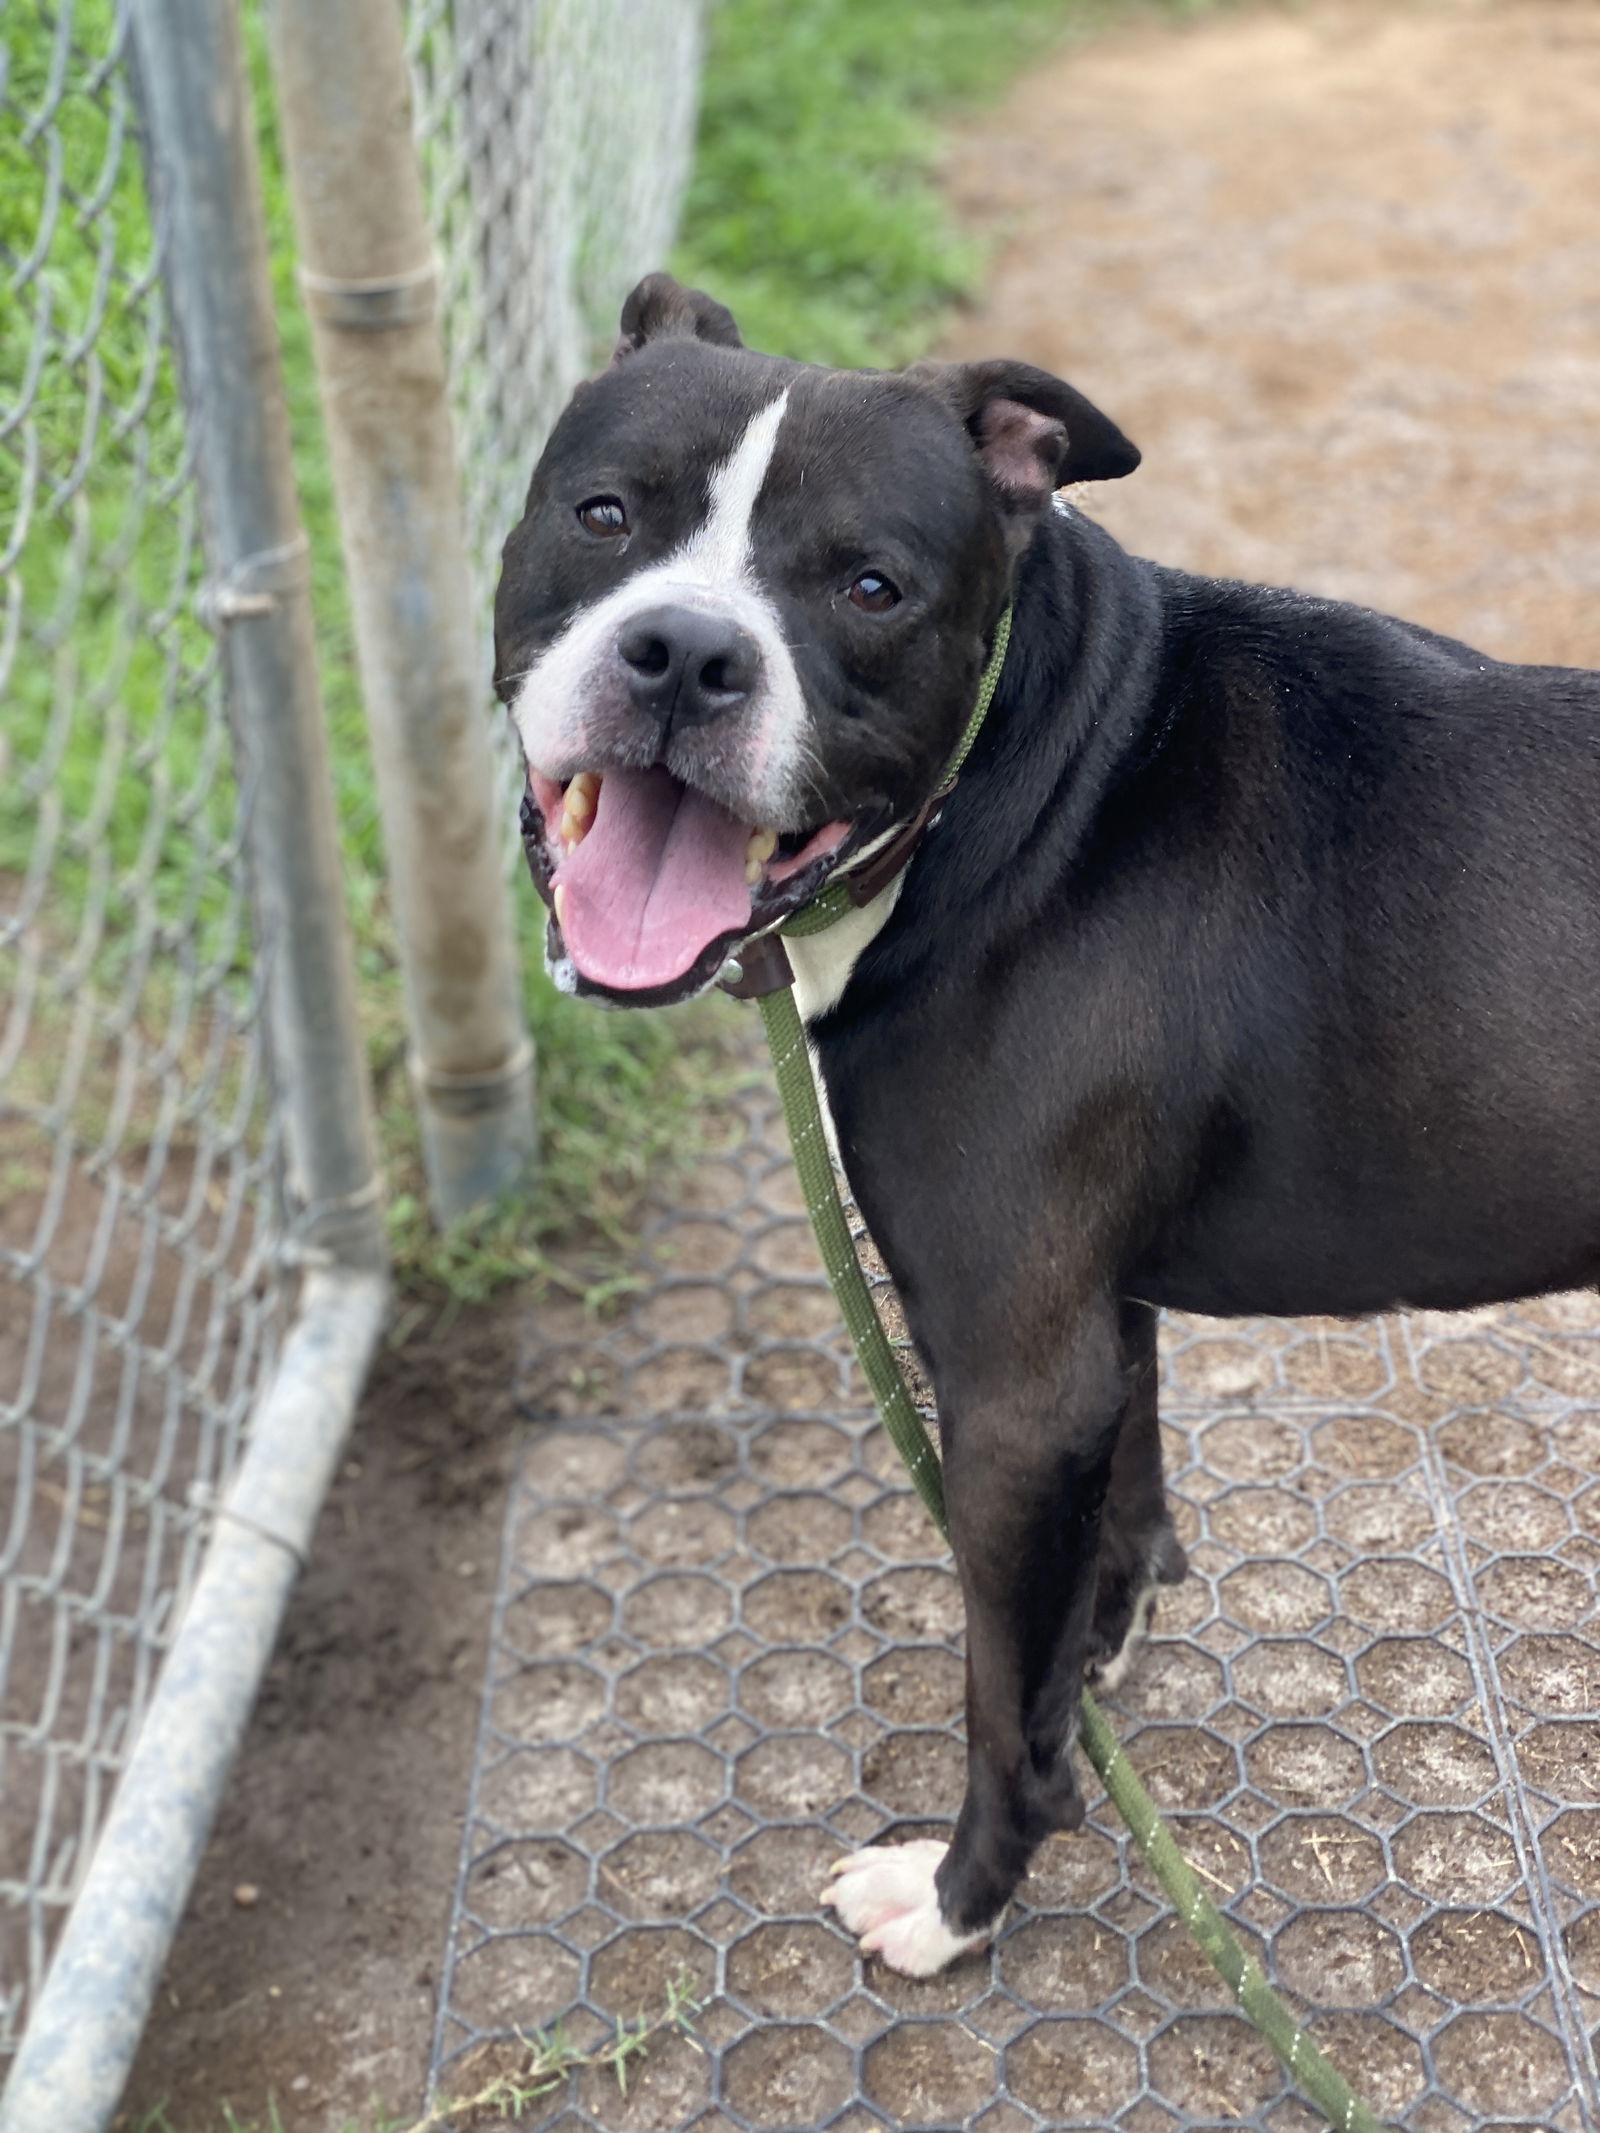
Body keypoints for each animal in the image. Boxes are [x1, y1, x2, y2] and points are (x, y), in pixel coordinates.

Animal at [494, 275, 1600, 1970]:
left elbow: (992, 1694)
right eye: (604, 512)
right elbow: (1123, 1515)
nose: (683, 653)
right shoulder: (1095, 1321)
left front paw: (961, 1899)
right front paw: (1099, 1659)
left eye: (873, 586)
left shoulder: (1014, 1385)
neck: (1028, 784)